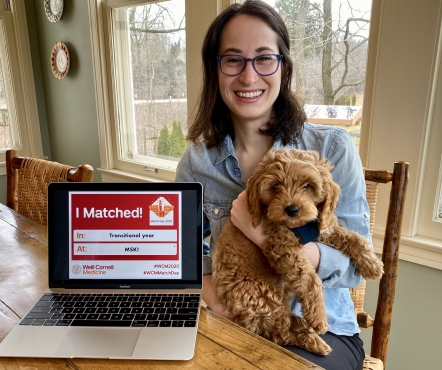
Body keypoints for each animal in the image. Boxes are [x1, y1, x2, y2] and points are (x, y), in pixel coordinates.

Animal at [212, 148, 382, 356]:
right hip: (263, 295)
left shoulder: (321, 226)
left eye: (307, 186)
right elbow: (309, 278)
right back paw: (313, 339)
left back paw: (302, 325)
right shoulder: (281, 245)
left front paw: (372, 264)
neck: (298, 226)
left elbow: (353, 236)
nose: (291, 209)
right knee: (279, 333)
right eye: (276, 185)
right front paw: (318, 317)